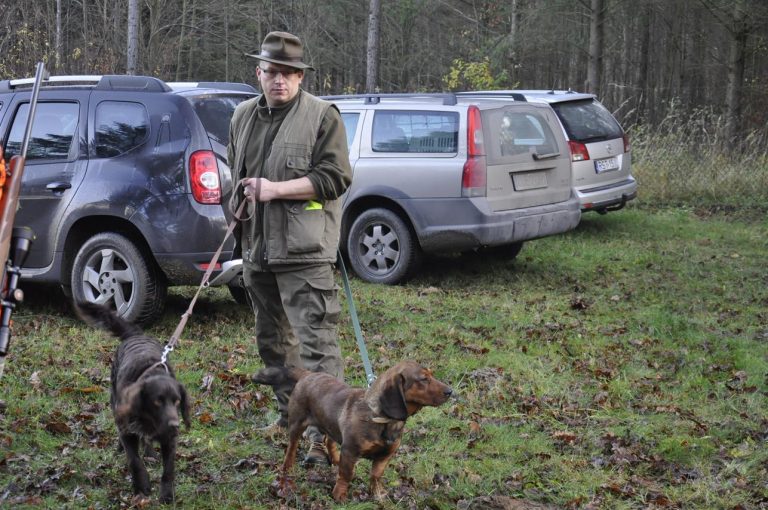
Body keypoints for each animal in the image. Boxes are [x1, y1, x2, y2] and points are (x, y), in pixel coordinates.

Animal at [255, 360, 452, 500]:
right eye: (424, 379)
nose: (450, 391)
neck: (382, 419)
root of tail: (308, 375)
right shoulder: (351, 451)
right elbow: (347, 474)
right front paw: (339, 495)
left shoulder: (385, 455)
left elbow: (376, 476)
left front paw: (378, 494)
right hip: (297, 424)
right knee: (292, 446)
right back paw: (287, 467)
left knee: (330, 441)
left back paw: (335, 459)